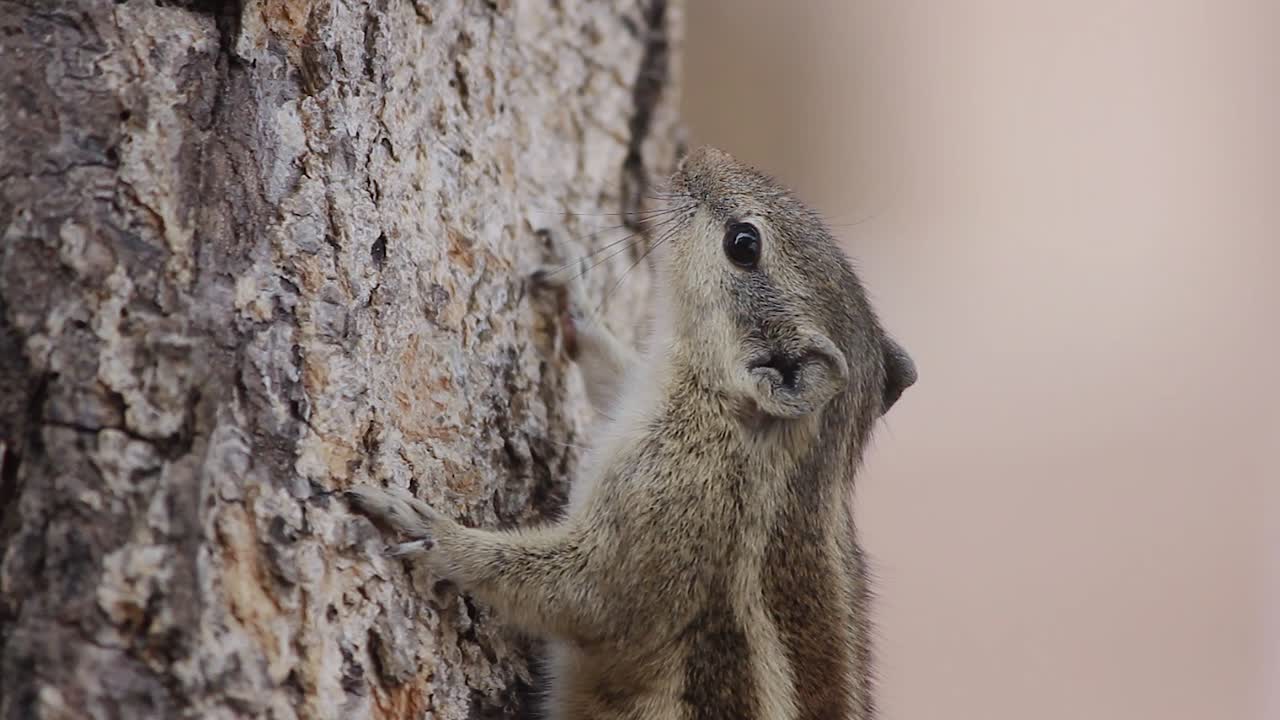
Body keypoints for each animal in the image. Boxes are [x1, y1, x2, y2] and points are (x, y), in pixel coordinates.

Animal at [345, 147, 916, 717]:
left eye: (744, 243)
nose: (698, 157)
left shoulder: (673, 507)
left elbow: (583, 596)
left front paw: (432, 531)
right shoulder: (640, 392)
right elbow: (613, 373)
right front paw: (574, 292)